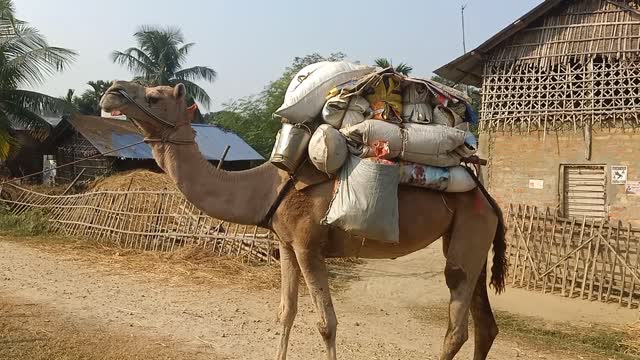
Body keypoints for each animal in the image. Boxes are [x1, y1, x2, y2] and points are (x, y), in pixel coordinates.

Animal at [100, 81, 510, 360]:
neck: (268, 185)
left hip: (470, 229)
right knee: (485, 324)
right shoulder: (285, 243)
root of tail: (491, 202)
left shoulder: (307, 244)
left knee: (456, 326)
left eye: (154, 96)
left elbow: (326, 324)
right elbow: (286, 312)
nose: (111, 91)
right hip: (470, 237)